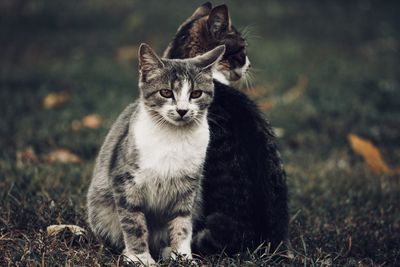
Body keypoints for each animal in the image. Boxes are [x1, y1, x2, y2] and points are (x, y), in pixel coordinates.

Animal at [86, 44, 227, 266]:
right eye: (166, 92)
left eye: (196, 93)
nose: (182, 110)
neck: (173, 138)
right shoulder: (125, 181)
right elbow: (134, 224)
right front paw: (140, 258)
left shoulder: (188, 187)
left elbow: (182, 224)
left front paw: (183, 256)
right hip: (101, 210)